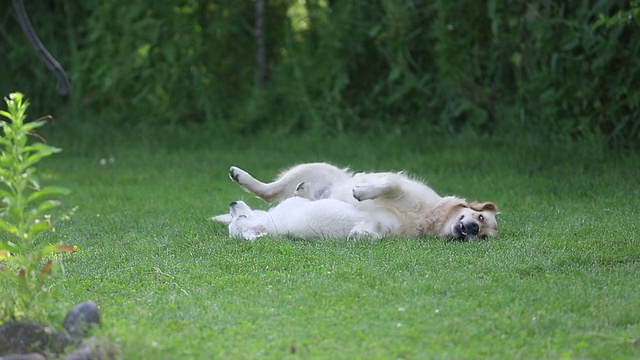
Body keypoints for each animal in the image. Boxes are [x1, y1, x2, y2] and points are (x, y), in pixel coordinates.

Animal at [220, 162, 500, 240]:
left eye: (484, 236)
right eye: (480, 216)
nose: (473, 229)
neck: (431, 219)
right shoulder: (401, 186)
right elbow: (390, 184)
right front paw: (362, 192)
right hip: (314, 168)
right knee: (268, 190)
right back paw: (239, 175)